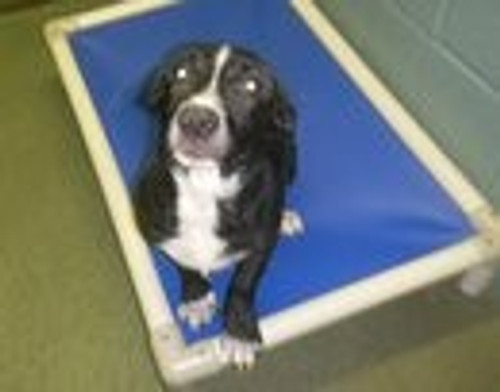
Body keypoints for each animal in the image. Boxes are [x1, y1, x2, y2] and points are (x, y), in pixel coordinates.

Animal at [133, 43, 302, 368]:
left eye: (251, 86)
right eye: (181, 72)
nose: (196, 121)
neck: (204, 187)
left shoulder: (261, 243)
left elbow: (243, 284)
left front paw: (239, 332)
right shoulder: (159, 235)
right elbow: (185, 264)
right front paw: (196, 297)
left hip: (289, 154)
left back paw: (286, 216)